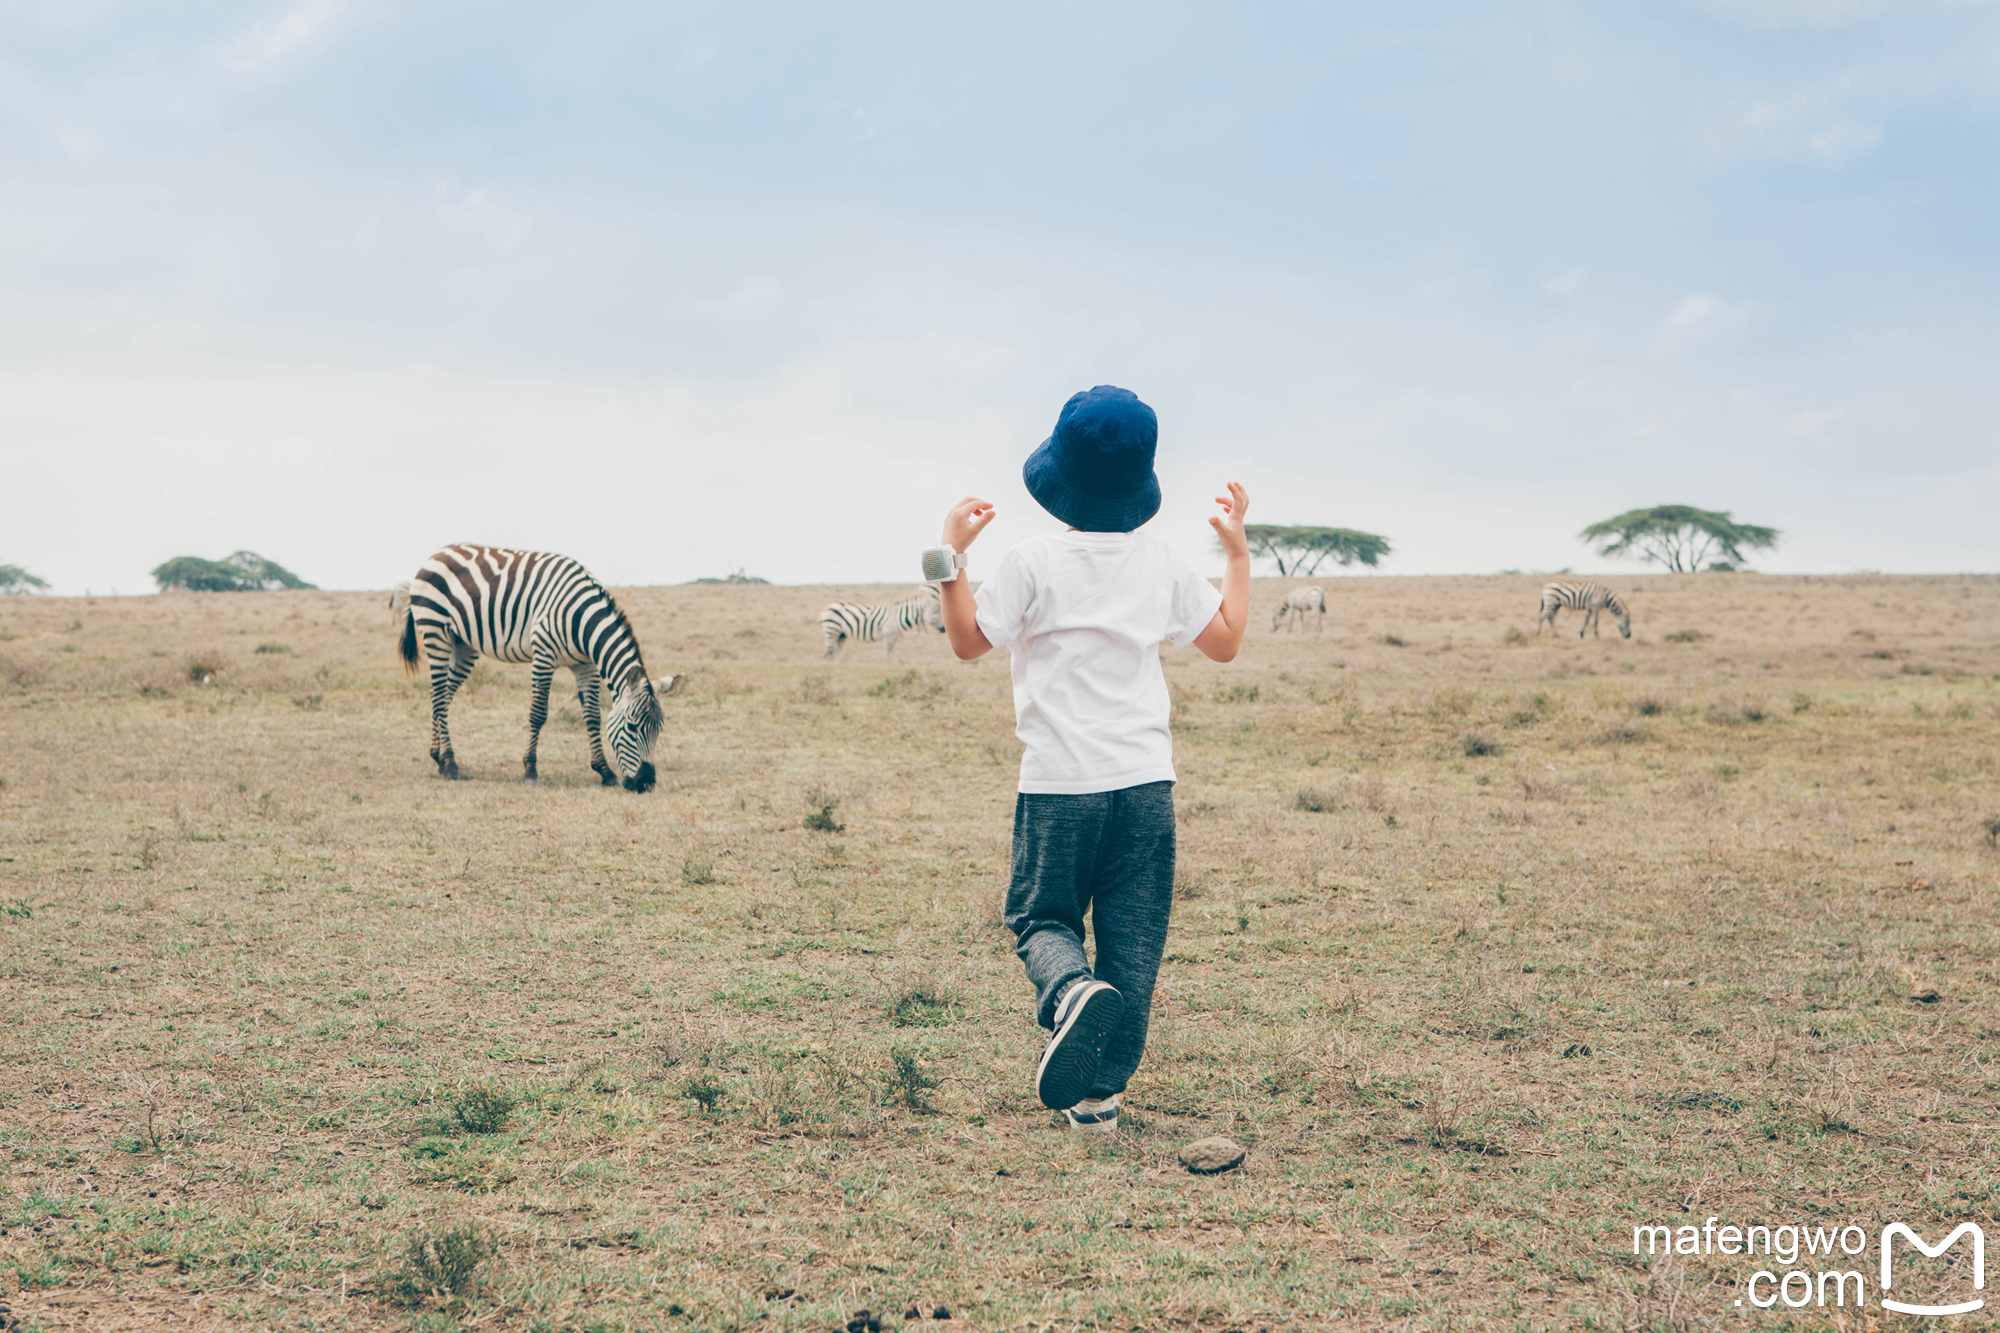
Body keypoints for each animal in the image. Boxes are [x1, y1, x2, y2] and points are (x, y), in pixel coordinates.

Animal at [394, 544, 684, 784]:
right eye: (633, 727)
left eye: (659, 729)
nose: (646, 783)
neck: (581, 620)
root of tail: (437, 553)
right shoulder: (543, 655)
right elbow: (538, 713)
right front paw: (530, 770)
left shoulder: (585, 665)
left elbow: (592, 716)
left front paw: (604, 771)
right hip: (436, 633)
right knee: (439, 696)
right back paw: (450, 763)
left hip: (464, 645)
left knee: (442, 695)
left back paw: (438, 757)